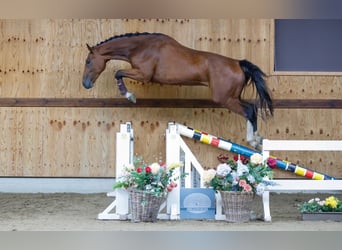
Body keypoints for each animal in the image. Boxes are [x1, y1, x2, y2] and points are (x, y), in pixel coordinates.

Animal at [82, 32, 272, 147]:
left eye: (88, 61)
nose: (86, 84)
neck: (141, 47)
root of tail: (238, 64)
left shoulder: (143, 75)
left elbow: (118, 73)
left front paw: (130, 96)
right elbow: (119, 73)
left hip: (225, 99)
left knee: (249, 111)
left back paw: (253, 141)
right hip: (233, 97)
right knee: (252, 108)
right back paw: (257, 140)